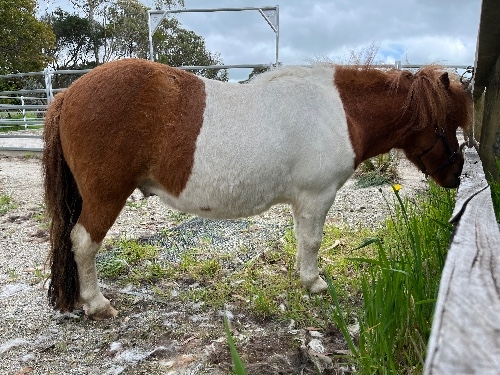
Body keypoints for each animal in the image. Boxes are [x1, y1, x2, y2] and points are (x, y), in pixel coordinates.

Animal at [41, 58, 470, 320]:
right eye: (446, 124)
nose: (456, 176)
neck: (340, 112)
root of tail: (68, 93)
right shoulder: (317, 195)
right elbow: (313, 240)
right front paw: (314, 282)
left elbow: (301, 239)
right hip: (105, 195)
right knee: (84, 242)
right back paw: (97, 304)